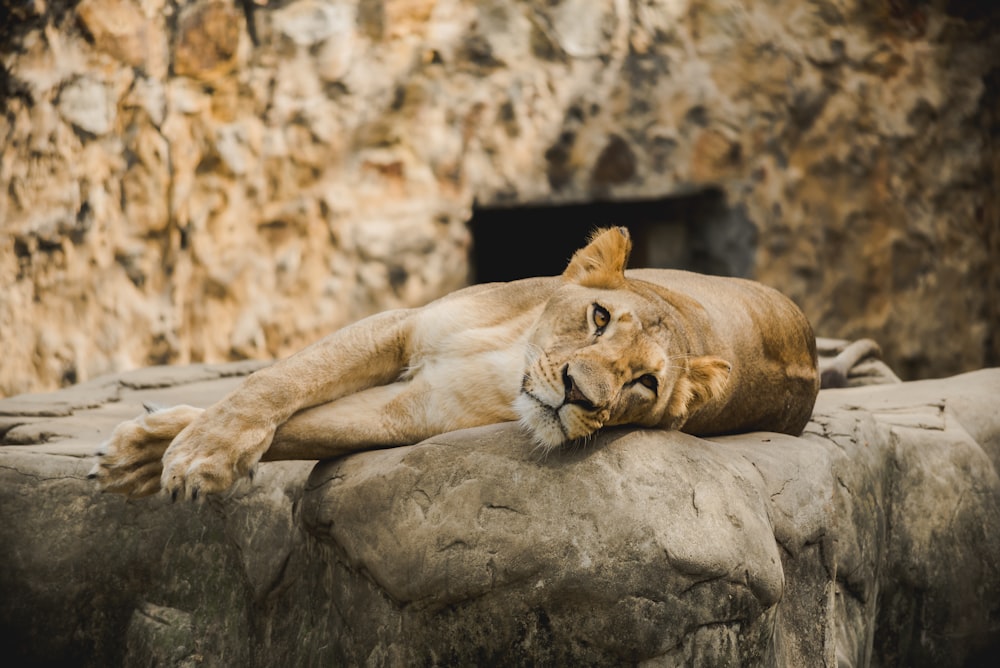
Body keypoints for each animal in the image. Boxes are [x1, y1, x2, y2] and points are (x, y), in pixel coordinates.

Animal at [88, 227, 820, 498]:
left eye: (645, 383)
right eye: (600, 318)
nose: (578, 393)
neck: (510, 355)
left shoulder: (416, 412)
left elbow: (299, 428)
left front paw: (168, 459)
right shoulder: (402, 327)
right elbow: (277, 383)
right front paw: (185, 453)